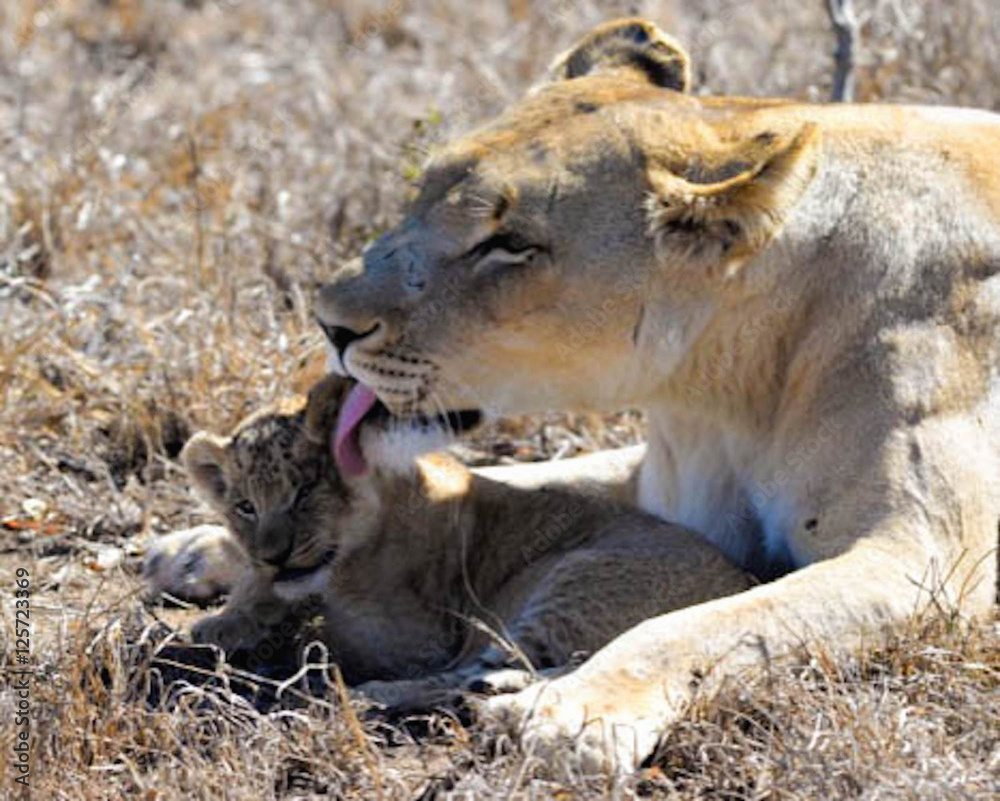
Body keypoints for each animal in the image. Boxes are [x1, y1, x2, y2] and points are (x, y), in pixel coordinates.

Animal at [145, 374, 750, 697]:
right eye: (245, 506)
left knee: (477, 673)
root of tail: (742, 580)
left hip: (570, 582)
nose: (274, 554)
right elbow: (264, 589)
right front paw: (229, 616)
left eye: (304, 491)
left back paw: (370, 695)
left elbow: (326, 620)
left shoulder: (416, 636)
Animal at [314, 17, 1000, 772]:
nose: (328, 320)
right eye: (421, 194)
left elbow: (708, 623)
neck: (726, 395)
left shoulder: (923, 559)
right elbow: (519, 480)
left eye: (511, 244)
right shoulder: (662, 487)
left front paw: (575, 714)